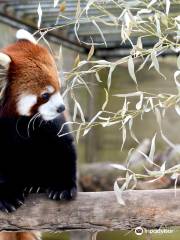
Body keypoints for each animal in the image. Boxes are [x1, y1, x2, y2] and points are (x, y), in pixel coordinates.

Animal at [0, 30, 76, 212]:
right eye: (45, 95)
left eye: (59, 88)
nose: (62, 108)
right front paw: (7, 196)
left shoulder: (49, 123)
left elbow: (62, 145)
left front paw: (62, 186)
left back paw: (35, 185)